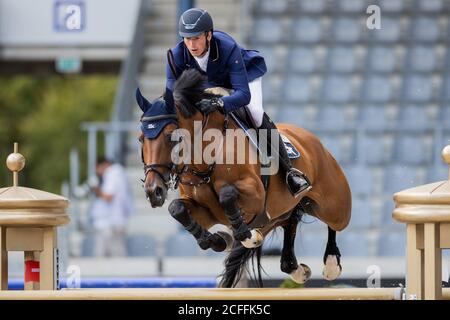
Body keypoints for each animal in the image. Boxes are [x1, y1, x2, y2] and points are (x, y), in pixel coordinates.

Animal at [137, 70, 352, 288]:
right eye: (140, 138)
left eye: (170, 136)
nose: (153, 192)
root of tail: (314, 141)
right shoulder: (206, 211)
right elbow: (177, 209)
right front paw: (218, 240)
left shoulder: (255, 194)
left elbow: (226, 194)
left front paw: (246, 237)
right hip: (279, 213)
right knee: (289, 221)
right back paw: (296, 268)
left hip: (333, 206)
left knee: (335, 224)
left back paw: (331, 264)